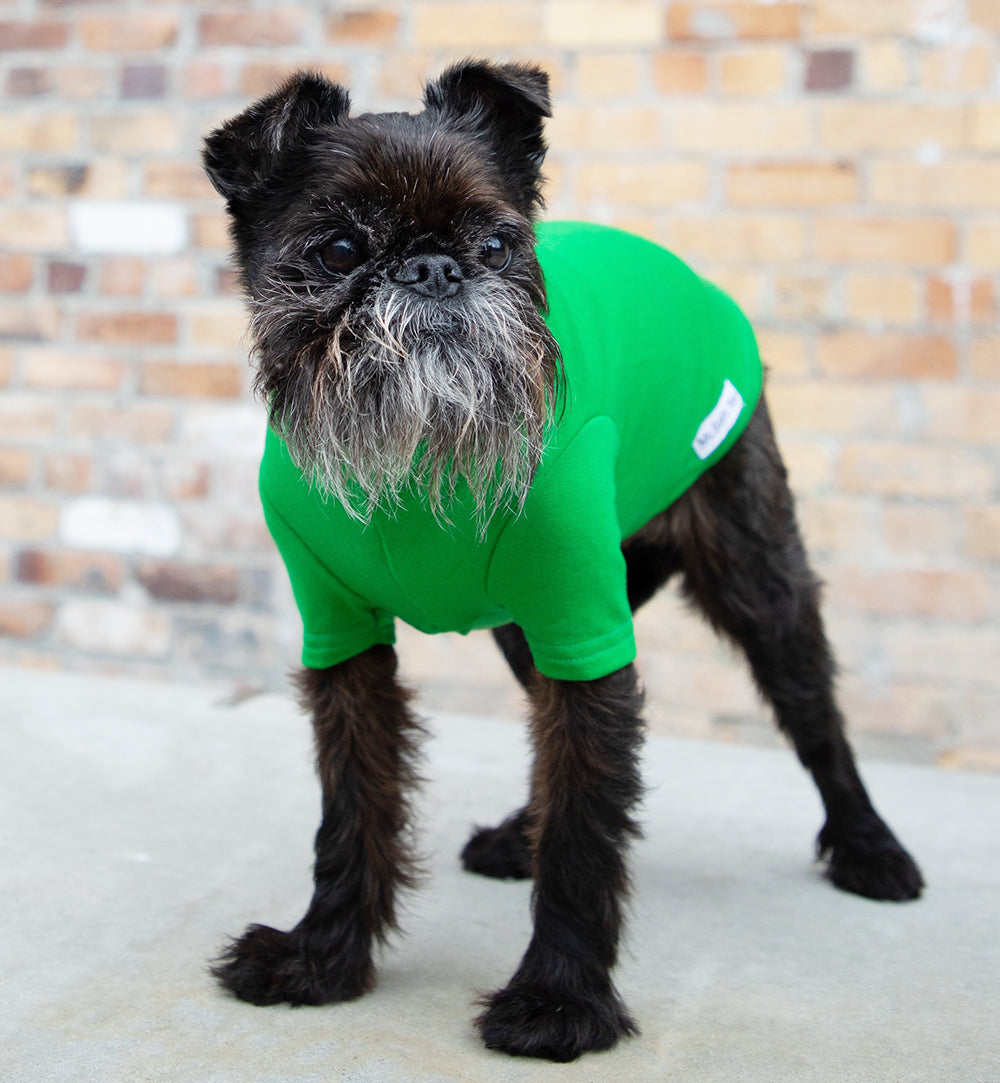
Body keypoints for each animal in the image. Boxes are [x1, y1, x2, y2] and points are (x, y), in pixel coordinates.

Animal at [199, 57, 927, 1057]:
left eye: (499, 243)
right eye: (341, 250)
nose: (434, 268)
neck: (422, 457)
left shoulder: (589, 629)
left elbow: (587, 817)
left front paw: (559, 998)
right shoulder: (342, 640)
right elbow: (351, 807)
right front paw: (323, 954)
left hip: (757, 574)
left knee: (816, 717)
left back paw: (870, 847)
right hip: (523, 625)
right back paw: (519, 833)